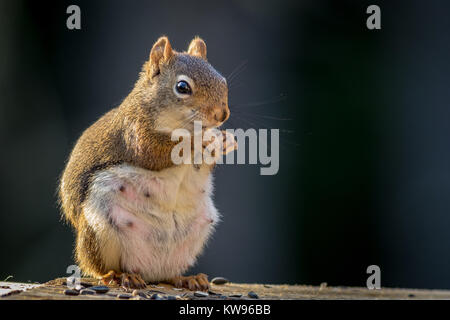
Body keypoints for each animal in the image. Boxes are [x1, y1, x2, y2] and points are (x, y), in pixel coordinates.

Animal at [59, 35, 239, 290]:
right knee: (99, 267)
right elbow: (154, 153)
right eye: (182, 87)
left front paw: (225, 140)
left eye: (222, 81)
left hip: (195, 233)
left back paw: (186, 278)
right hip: (99, 230)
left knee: (168, 274)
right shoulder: (134, 131)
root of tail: (148, 271)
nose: (222, 115)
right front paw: (199, 140)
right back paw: (119, 276)